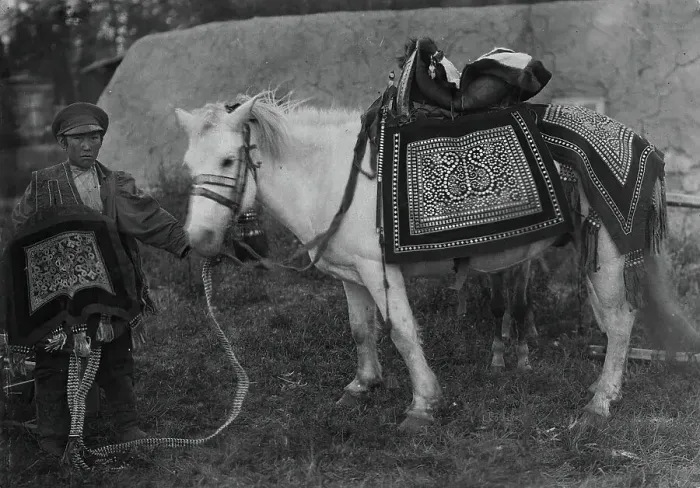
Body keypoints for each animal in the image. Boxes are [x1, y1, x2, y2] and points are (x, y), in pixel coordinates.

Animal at [174, 91, 695, 432]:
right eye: (187, 166)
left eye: (228, 160)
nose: (198, 239)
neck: (332, 173)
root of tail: (643, 144)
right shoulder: (352, 275)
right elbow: (360, 330)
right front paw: (362, 386)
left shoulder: (379, 270)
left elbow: (403, 333)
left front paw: (423, 405)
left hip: (607, 252)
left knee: (620, 323)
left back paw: (601, 402)